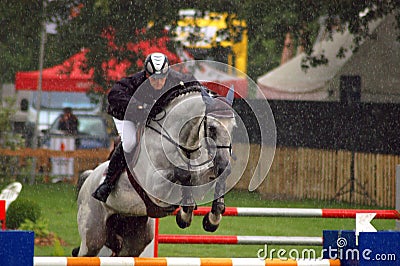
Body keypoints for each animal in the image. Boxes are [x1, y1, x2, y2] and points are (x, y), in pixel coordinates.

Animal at [73, 82, 236, 256]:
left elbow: (213, 181)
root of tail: (89, 177)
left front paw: (212, 220)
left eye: (233, 127)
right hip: (93, 237)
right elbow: (183, 174)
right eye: (212, 128)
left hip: (135, 237)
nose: (223, 164)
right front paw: (184, 216)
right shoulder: (155, 185)